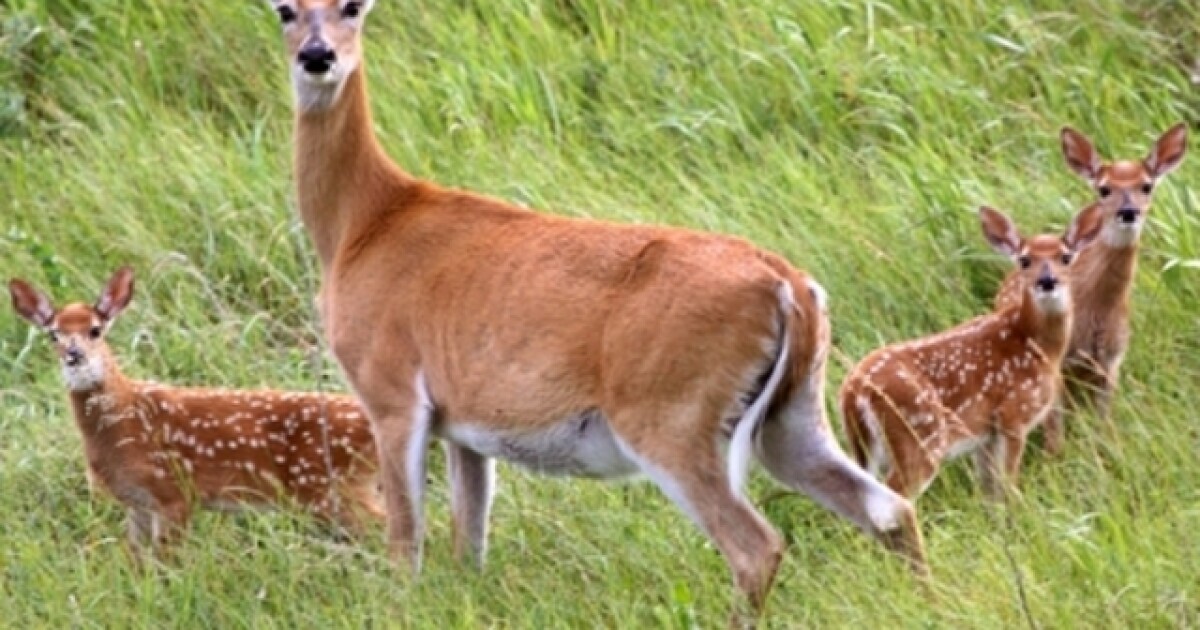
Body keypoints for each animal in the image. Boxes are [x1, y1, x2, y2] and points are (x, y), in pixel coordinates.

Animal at [8, 268, 382, 553]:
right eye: (53, 335)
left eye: (95, 330)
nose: (74, 355)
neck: (122, 424)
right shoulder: (137, 502)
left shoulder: (173, 491)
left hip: (330, 488)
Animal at [261, 0, 925, 619]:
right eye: (285, 9)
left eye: (353, 6)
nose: (318, 56)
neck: (364, 223)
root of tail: (787, 284)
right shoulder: (463, 425)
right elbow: (469, 544)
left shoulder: (390, 390)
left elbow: (406, 544)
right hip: (792, 415)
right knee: (888, 507)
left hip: (669, 416)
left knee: (756, 545)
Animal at [841, 205, 1104, 502]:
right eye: (1024, 260)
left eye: (1065, 257)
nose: (1047, 281)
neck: (1038, 347)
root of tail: (855, 390)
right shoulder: (1014, 414)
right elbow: (1009, 483)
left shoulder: (985, 435)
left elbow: (989, 490)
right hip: (920, 436)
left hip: (865, 447)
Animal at [994, 123, 1188, 454]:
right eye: (1104, 189)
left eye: (1147, 186)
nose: (1128, 211)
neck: (1095, 310)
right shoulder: (1058, 361)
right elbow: (1054, 431)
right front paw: (1054, 459)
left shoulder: (1113, 359)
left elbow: (1104, 422)